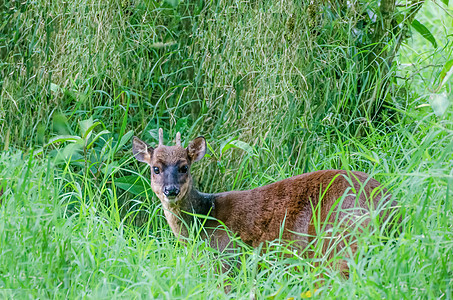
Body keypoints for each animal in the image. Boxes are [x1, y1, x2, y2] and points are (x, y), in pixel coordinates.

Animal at [131, 128, 396, 274]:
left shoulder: (227, 260)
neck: (206, 219)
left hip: (337, 241)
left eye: (184, 167)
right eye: (155, 168)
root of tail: (391, 207)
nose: (171, 190)